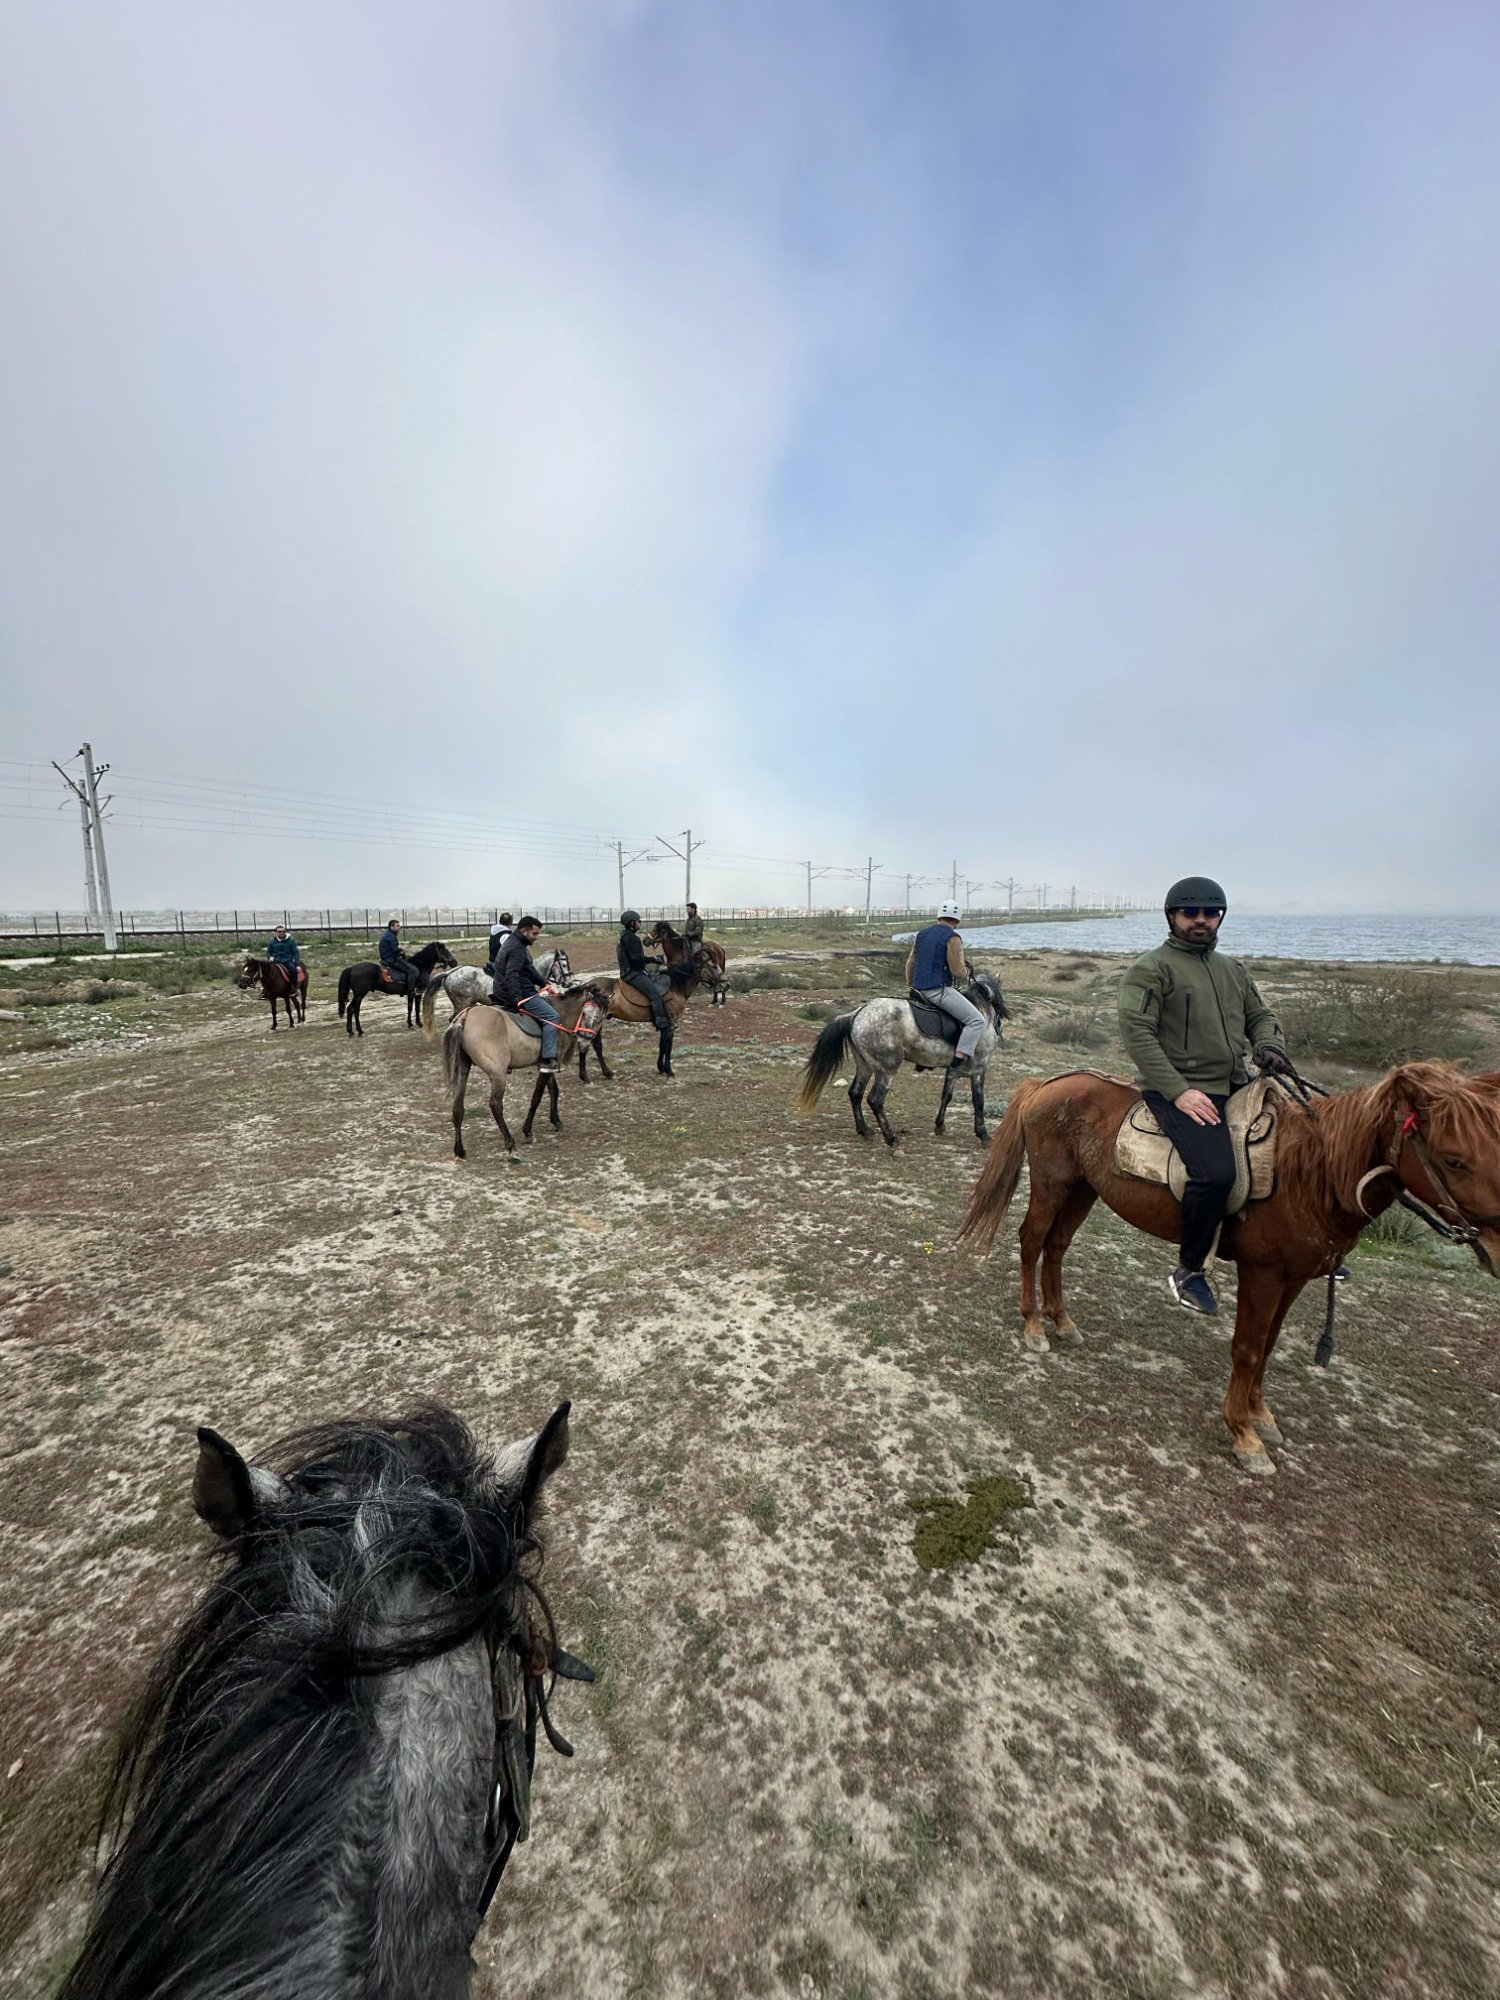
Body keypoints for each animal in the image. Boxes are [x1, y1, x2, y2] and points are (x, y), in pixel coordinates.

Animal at [442, 985, 611, 1157]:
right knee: (495, 1105)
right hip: (498, 1073)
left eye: (600, 1018)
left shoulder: (546, 1064)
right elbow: (537, 1097)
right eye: (589, 1015)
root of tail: (464, 1017)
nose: (584, 1043)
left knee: (458, 1107)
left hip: (463, 1069)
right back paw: (509, 1143)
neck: (561, 1014)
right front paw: (528, 1130)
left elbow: (554, 1090)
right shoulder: (546, 1066)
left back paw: (459, 1150)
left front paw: (556, 1121)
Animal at [797, 970, 1009, 1147]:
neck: (982, 1012)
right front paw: (984, 1135)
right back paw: (891, 1139)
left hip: (864, 1065)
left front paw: (940, 1126)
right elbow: (978, 1101)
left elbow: (946, 1096)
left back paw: (865, 1130)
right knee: (875, 1100)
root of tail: (857, 1014)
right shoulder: (979, 1068)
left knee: (855, 1094)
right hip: (887, 1069)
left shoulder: (953, 1070)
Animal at [957, 1059, 1500, 1475]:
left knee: (1057, 1247)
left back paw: (1062, 1320)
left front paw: (1261, 1416)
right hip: (1052, 1184)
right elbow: (1248, 1348)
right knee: (1032, 1243)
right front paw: (1244, 1436)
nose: (1495, 1246)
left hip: (1083, 1190)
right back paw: (1033, 1325)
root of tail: (1046, 1085)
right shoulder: (1262, 1274)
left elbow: (1269, 1346)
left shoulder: (1294, 1277)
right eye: (1454, 1160)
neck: (1311, 1172)